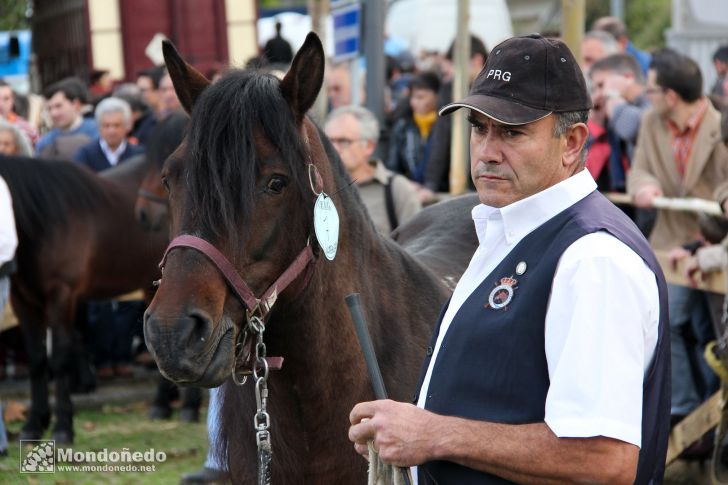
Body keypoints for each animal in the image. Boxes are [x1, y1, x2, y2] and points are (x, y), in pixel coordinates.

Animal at [0, 155, 168, 442]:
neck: (40, 223)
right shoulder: (21, 299)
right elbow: (36, 358)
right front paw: (34, 424)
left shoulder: (62, 294)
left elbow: (59, 358)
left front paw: (62, 426)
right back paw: (163, 405)